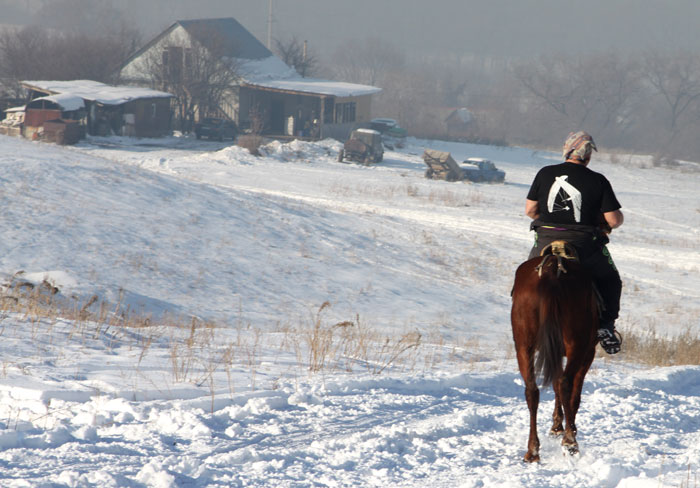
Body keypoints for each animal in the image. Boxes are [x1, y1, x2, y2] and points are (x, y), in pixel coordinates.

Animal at [512, 244, 600, 462]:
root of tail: (551, 272)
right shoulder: (588, 352)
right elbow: (573, 392)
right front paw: (567, 427)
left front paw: (557, 425)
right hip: (577, 345)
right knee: (566, 383)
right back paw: (570, 442)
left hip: (523, 345)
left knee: (532, 390)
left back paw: (533, 450)